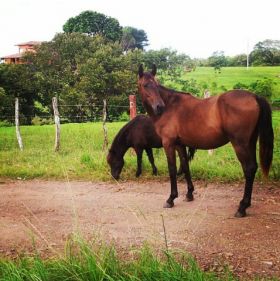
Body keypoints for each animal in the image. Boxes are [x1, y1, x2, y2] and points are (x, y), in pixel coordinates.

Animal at [138, 64, 274, 217]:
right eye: (145, 85)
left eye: (156, 84)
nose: (159, 106)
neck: (170, 107)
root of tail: (255, 96)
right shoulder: (180, 144)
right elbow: (185, 166)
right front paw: (189, 194)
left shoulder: (169, 143)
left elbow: (172, 169)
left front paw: (171, 199)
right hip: (250, 142)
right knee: (253, 167)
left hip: (240, 144)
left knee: (249, 168)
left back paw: (242, 207)